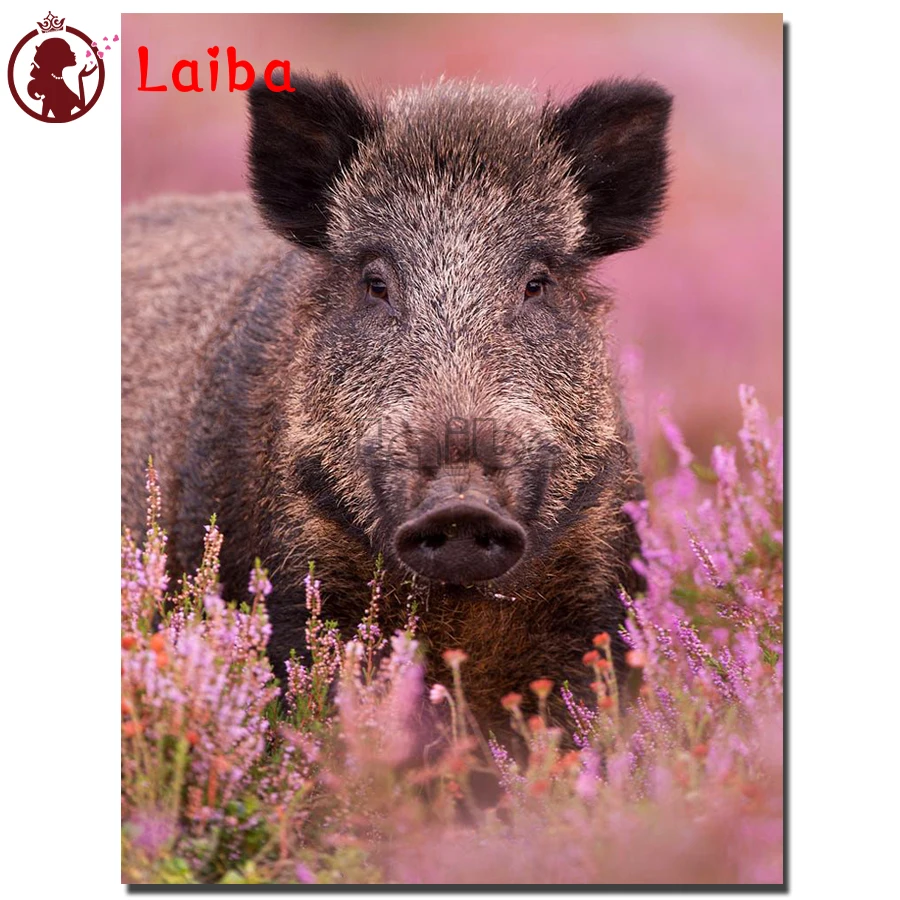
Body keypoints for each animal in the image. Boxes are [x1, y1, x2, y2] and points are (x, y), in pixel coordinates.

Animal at [121, 74, 671, 740]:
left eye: (537, 283)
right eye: (375, 283)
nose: (461, 506)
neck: (457, 613)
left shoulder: (600, 586)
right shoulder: (282, 586)